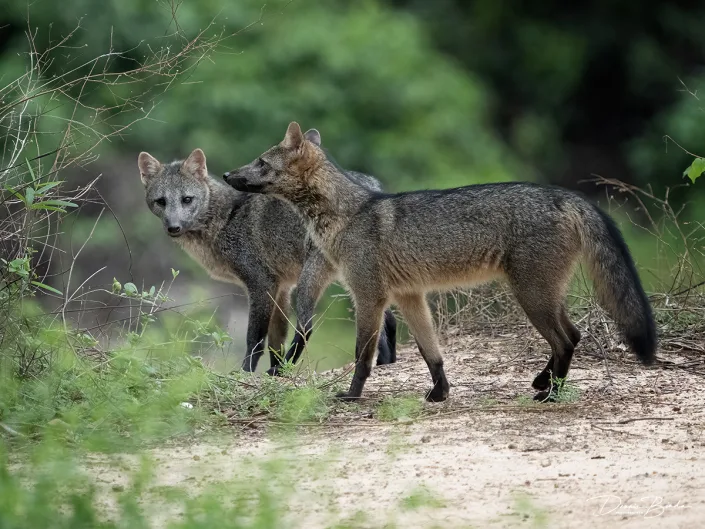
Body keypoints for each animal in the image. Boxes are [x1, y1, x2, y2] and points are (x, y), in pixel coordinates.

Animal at [138, 147, 397, 375]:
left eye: (187, 199)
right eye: (161, 201)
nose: (174, 227)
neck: (227, 219)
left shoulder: (261, 284)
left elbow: (254, 339)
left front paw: (247, 372)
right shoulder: (281, 288)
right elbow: (275, 340)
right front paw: (274, 368)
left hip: (311, 280)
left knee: (306, 326)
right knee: (388, 322)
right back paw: (385, 361)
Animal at [222, 122, 657, 402]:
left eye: (261, 163)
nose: (227, 174)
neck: (347, 214)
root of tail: (566, 195)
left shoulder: (369, 298)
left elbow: (363, 355)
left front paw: (351, 395)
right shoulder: (410, 297)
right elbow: (431, 352)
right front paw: (439, 392)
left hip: (532, 297)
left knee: (566, 340)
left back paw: (551, 394)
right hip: (543, 296)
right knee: (576, 335)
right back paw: (543, 383)